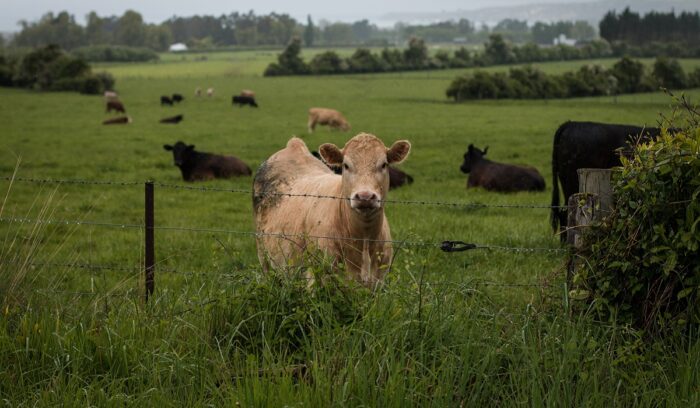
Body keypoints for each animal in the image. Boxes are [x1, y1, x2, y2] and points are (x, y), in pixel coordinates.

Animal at [253, 133, 411, 285]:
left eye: (384, 164)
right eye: (346, 165)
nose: (365, 196)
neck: (364, 240)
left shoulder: (379, 279)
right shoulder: (316, 276)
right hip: (263, 256)